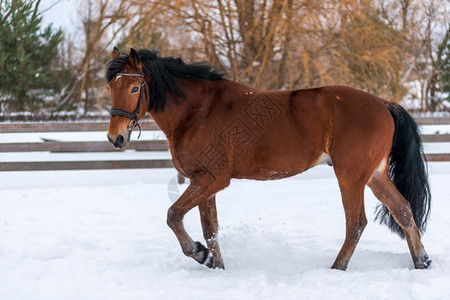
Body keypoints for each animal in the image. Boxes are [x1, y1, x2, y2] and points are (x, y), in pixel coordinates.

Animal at [105, 48, 432, 270]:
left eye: (134, 87)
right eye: (110, 86)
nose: (115, 137)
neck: (198, 111)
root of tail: (383, 104)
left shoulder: (213, 179)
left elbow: (174, 215)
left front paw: (198, 254)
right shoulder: (204, 182)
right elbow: (210, 230)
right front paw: (215, 264)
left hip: (350, 175)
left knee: (356, 223)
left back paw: (337, 268)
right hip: (376, 175)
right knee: (403, 211)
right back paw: (422, 261)